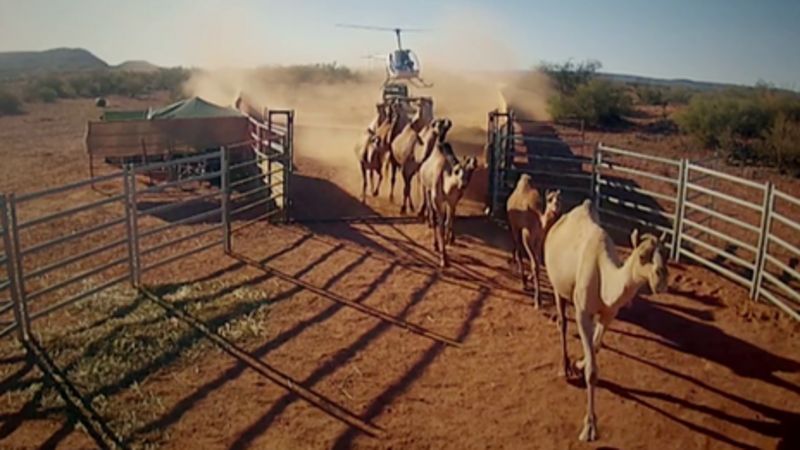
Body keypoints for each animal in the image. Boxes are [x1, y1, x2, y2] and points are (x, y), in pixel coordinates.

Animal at [506, 172, 564, 306]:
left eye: (559, 199)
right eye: (549, 199)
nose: (556, 207)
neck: (539, 223)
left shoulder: (539, 241)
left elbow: (538, 262)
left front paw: (529, 278)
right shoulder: (526, 236)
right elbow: (534, 265)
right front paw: (538, 300)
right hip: (514, 225)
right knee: (519, 250)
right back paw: (522, 281)